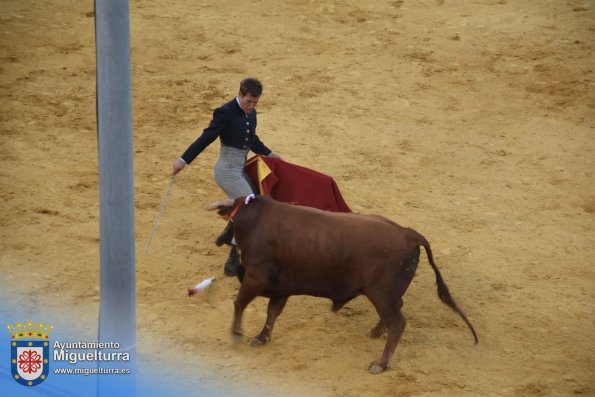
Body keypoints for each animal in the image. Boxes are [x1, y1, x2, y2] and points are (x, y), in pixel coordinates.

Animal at [211, 194, 480, 372]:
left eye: (229, 222)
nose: (218, 240)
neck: (253, 221)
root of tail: (408, 233)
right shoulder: (281, 286)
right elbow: (272, 312)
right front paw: (261, 337)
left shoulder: (256, 278)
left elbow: (239, 304)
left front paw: (236, 334)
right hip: (388, 295)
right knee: (397, 312)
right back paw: (376, 332)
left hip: (381, 294)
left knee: (398, 324)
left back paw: (381, 363)